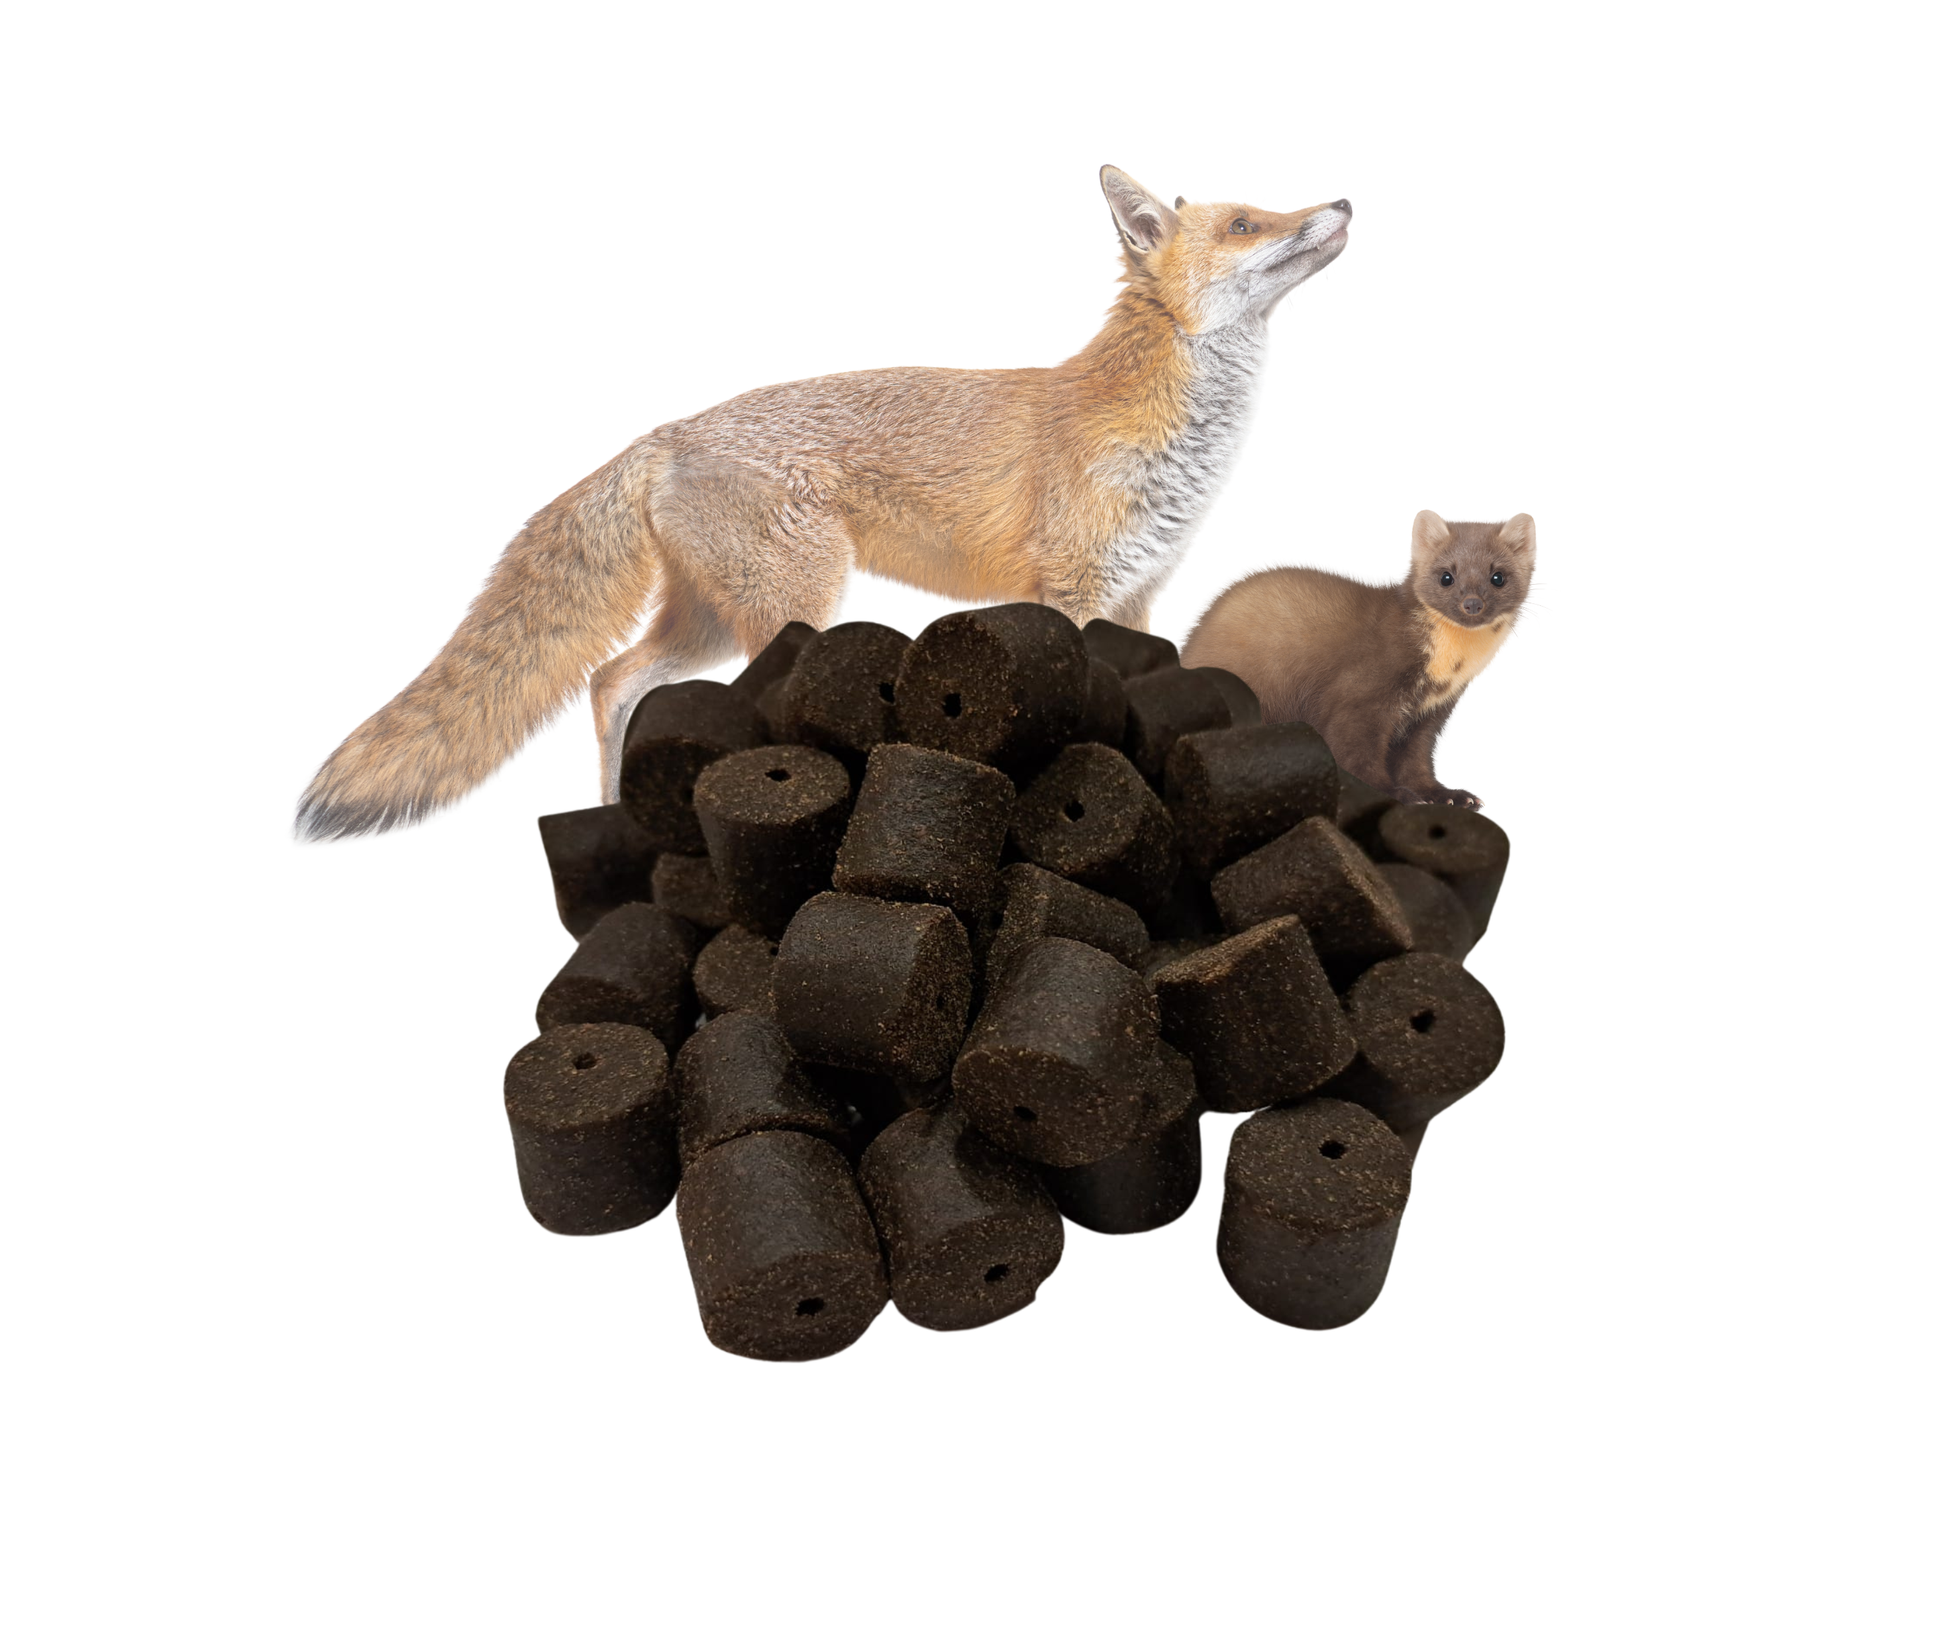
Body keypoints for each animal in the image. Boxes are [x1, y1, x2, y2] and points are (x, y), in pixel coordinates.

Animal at [295, 166, 1351, 839]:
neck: (1172, 440)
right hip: (794, 601)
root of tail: (667, 432)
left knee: (609, 679)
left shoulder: (1137, 596)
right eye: (1247, 223)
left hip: (709, 617)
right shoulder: (1072, 590)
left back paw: (611, 817)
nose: (1342, 199)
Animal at [1179, 511, 1535, 809]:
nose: (1472, 603)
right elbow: (1355, 753)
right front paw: (1394, 794)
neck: (1444, 672)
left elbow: (1415, 762)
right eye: (1446, 576)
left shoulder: (1430, 714)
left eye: (1498, 577)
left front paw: (1449, 796)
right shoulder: (1360, 694)